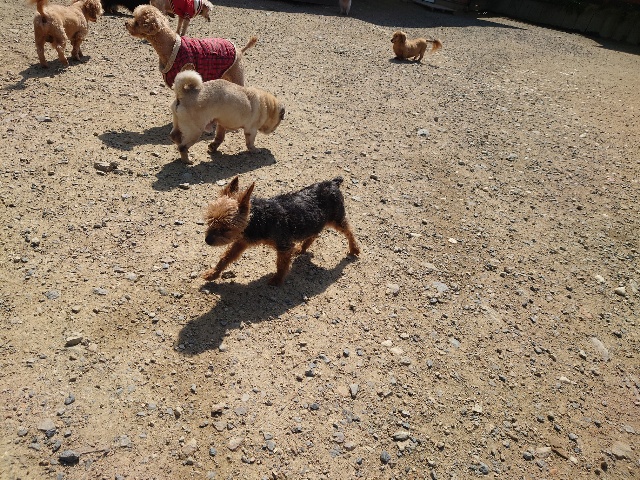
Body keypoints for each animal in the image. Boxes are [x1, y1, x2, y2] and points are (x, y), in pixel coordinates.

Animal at [202, 176, 360, 286]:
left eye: (226, 228)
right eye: (209, 221)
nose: (207, 240)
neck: (257, 218)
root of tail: (333, 183)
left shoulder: (284, 245)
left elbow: (281, 264)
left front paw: (277, 280)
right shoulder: (242, 241)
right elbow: (226, 257)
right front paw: (213, 274)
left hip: (336, 219)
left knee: (349, 231)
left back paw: (354, 248)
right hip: (315, 221)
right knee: (314, 234)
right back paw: (302, 248)